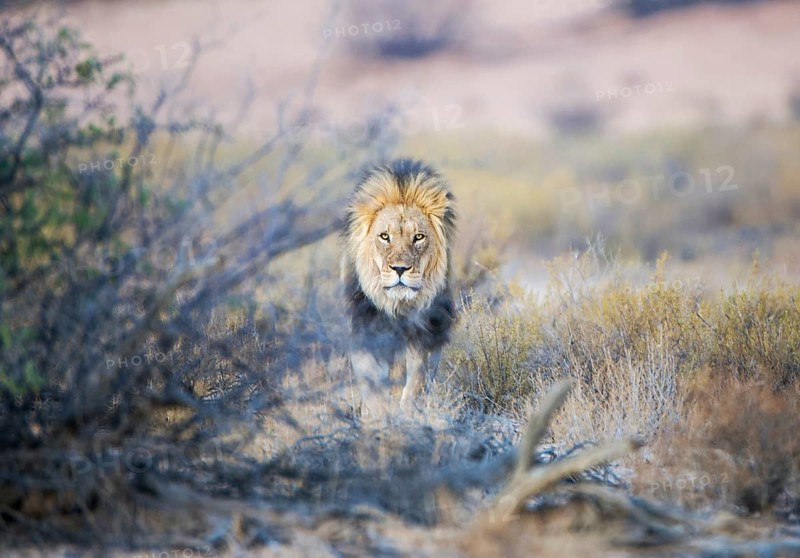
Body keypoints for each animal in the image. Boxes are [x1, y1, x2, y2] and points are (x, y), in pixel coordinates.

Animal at [342, 158, 456, 405]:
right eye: (385, 236)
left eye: (419, 237)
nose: (400, 269)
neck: (398, 307)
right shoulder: (365, 330)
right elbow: (374, 390)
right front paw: (380, 412)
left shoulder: (427, 333)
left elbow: (417, 382)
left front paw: (407, 410)